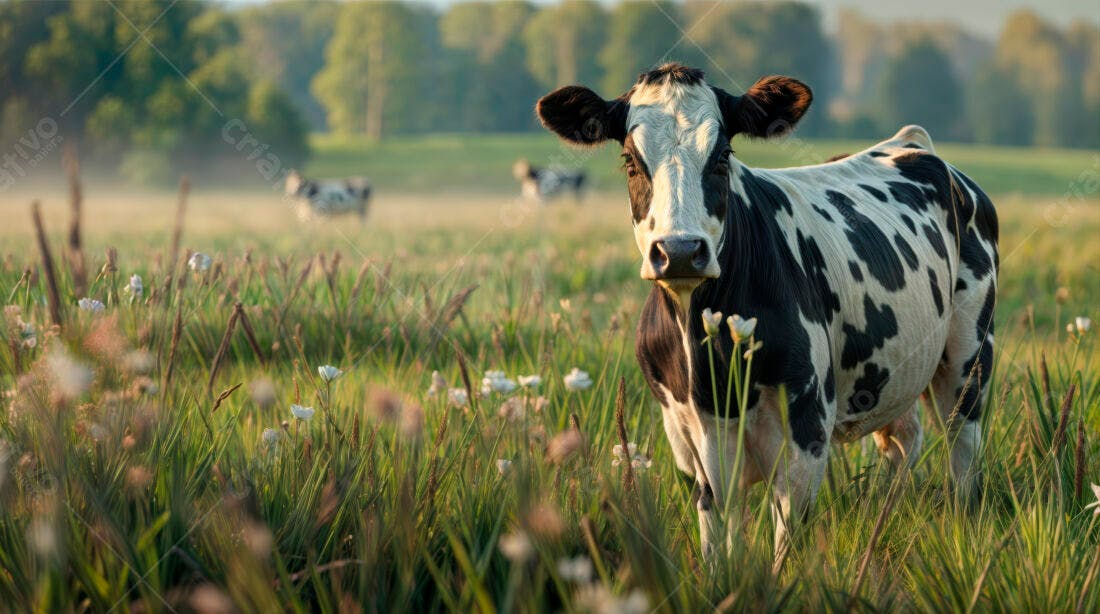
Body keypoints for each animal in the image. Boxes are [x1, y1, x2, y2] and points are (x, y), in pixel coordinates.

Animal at [535, 64, 998, 564]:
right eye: (629, 161)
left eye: (723, 156)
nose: (679, 251)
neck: (709, 371)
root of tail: (909, 145)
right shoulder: (688, 437)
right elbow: (718, 535)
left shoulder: (806, 425)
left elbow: (787, 544)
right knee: (903, 442)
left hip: (970, 355)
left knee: (962, 449)